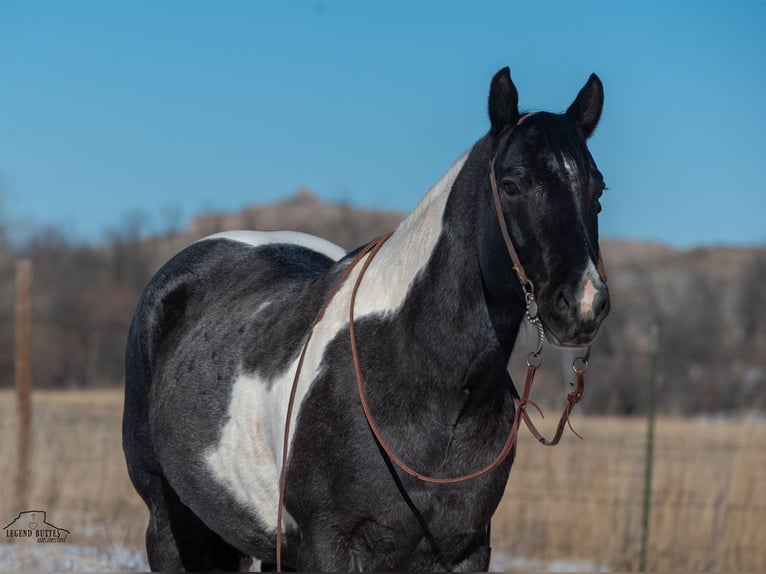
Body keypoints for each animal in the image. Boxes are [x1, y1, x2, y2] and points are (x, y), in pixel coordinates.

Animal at [121, 66, 612, 572]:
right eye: (512, 185)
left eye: (597, 190)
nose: (582, 303)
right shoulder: (332, 546)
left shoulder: (467, 549)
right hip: (170, 523)